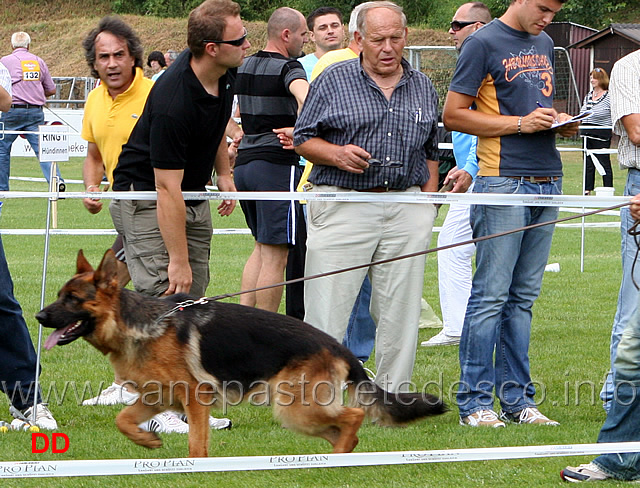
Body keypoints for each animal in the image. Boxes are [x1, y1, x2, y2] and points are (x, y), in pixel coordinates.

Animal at [35, 252, 444, 458]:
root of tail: (337, 344)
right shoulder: (158, 397)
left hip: (297, 408)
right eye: (59, 296)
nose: (38, 316)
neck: (139, 324)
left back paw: (337, 459)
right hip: (300, 414)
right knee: (346, 429)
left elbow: (196, 444)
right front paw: (147, 441)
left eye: (73, 300)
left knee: (355, 416)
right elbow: (123, 419)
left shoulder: (194, 399)